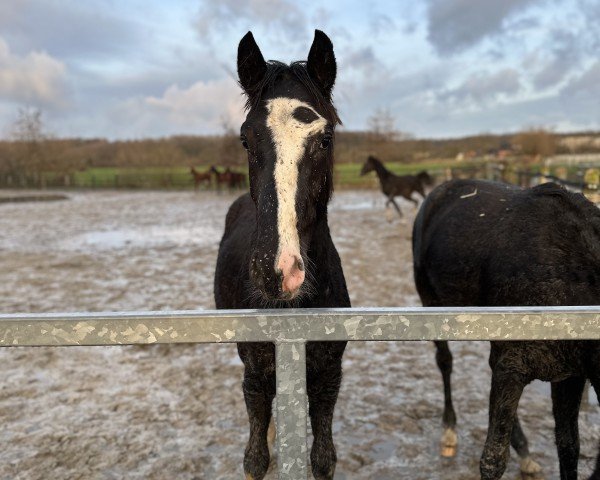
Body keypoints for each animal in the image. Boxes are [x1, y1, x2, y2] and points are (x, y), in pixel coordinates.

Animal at [213, 31, 350, 480]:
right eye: (245, 138)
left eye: (325, 139)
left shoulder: (327, 379)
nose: (277, 270)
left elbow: (322, 458)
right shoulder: (255, 377)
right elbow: (255, 458)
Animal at [412, 180, 600, 480]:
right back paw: (449, 429)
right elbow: (493, 460)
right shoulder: (511, 366)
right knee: (444, 361)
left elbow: (569, 447)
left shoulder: (570, 374)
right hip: (431, 302)